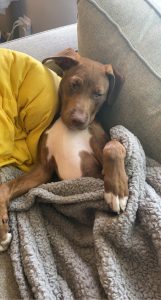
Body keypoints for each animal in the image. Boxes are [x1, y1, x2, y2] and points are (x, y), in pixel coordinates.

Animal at [0, 48, 128, 251]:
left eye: (98, 94)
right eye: (74, 84)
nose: (78, 120)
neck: (68, 129)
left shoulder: (102, 147)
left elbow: (113, 145)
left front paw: (116, 191)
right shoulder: (44, 170)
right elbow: (5, 187)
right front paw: (2, 231)